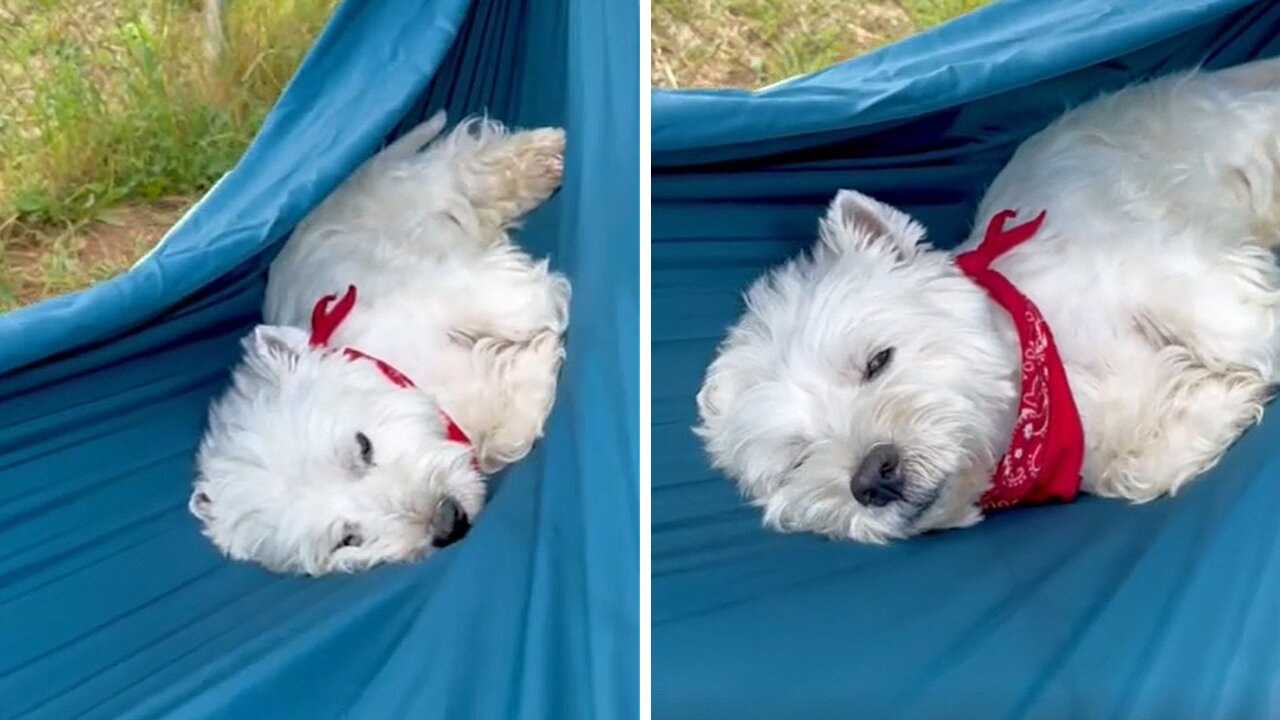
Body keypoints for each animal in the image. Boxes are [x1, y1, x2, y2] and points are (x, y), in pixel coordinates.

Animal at [190, 112, 570, 571]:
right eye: (347, 539)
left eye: (363, 446)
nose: (447, 522)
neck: (427, 386)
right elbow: (507, 431)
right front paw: (534, 369)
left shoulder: (437, 293)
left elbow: (519, 302)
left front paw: (541, 335)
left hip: (426, 190)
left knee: (472, 166)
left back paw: (546, 157)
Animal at [696, 56, 1280, 540]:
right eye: (797, 459)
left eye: (877, 361)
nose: (872, 478)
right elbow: (1142, 471)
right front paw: (1225, 400)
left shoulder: (1158, 270)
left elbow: (1234, 324)